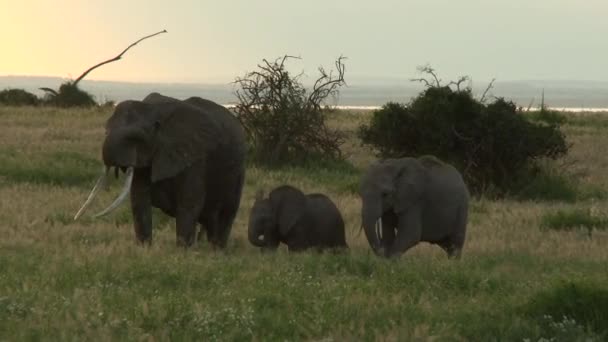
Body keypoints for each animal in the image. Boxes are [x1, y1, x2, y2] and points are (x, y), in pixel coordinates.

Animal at [75, 92, 246, 247]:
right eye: (106, 130)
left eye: (136, 138)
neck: (154, 112)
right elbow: (139, 200)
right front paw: (144, 248)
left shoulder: (194, 156)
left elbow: (189, 204)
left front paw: (183, 252)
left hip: (239, 169)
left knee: (227, 212)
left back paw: (217, 249)